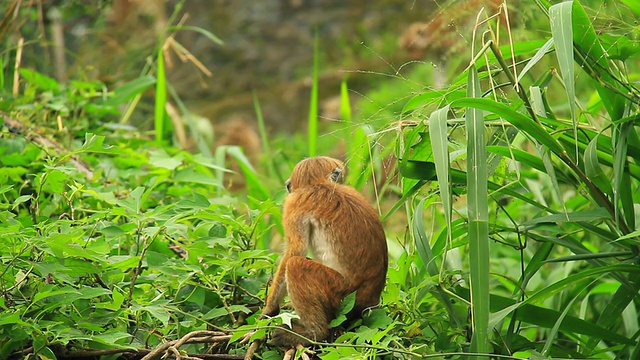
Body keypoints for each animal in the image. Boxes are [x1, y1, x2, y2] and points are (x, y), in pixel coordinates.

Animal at [262, 156, 390, 348]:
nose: (287, 184)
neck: (319, 185)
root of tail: (368, 302)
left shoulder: (293, 203)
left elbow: (296, 250)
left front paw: (269, 309)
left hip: (338, 292)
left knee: (295, 265)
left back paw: (314, 333)